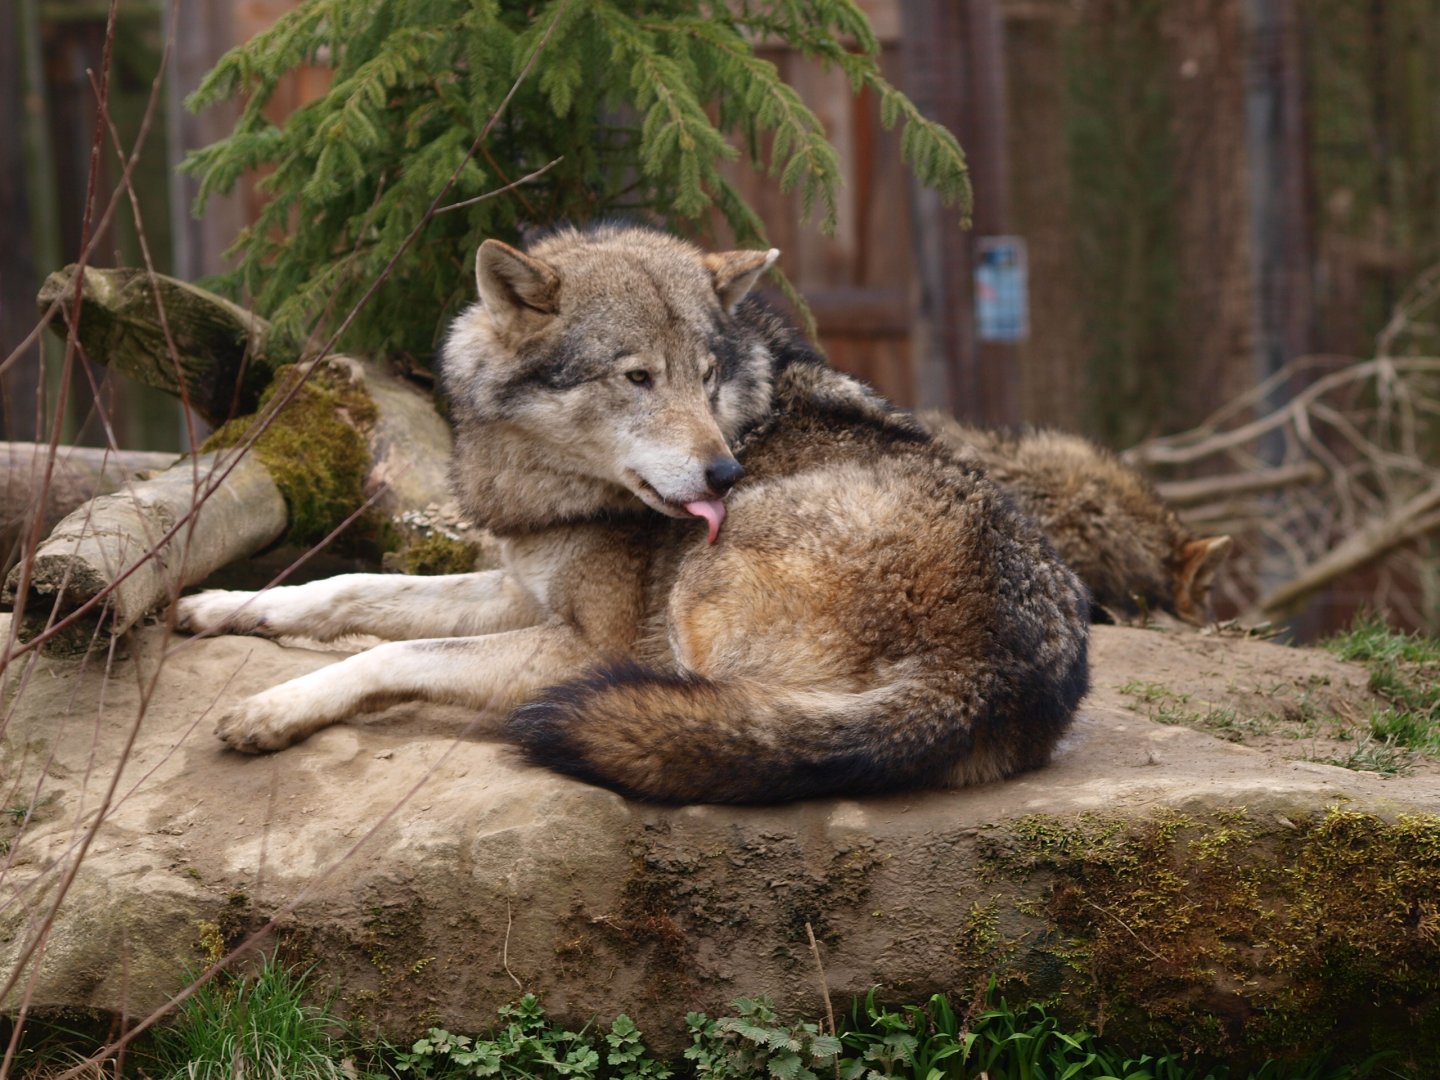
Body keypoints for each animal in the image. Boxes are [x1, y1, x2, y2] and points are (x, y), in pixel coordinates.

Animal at [177, 224, 1090, 803]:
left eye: (708, 375)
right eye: (638, 377)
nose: (726, 472)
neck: (543, 483)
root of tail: (988, 670)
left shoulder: (589, 641)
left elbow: (392, 650)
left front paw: (273, 709)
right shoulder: (522, 586)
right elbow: (352, 590)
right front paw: (224, 606)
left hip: (689, 605)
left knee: (722, 717)